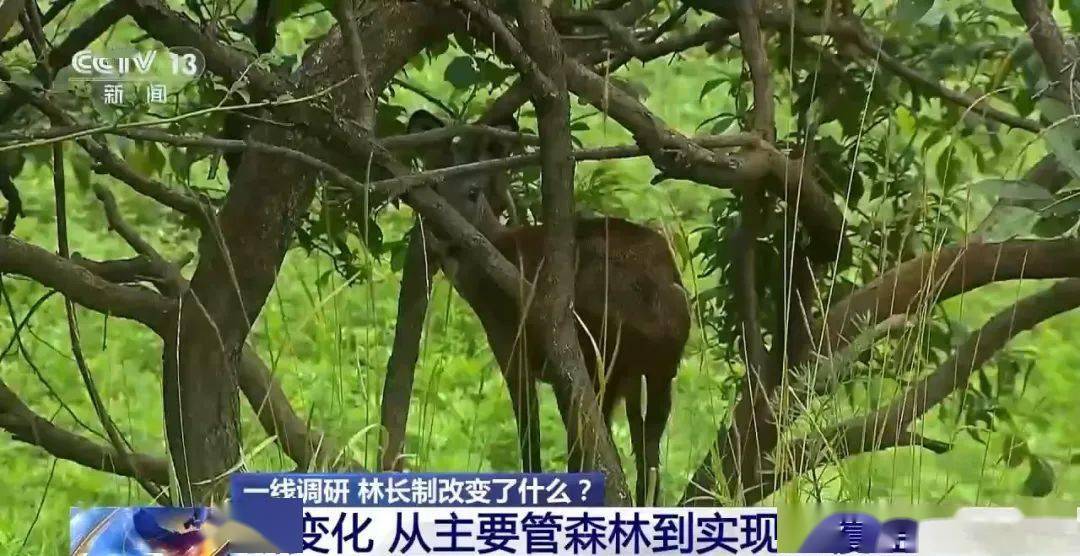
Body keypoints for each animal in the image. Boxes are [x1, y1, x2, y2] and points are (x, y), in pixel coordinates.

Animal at [406, 109, 691, 505]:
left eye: (473, 192)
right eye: (429, 190)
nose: (442, 239)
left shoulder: (513, 349)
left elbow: (530, 438)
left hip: (591, 355)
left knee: (595, 448)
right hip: (657, 368)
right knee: (645, 455)